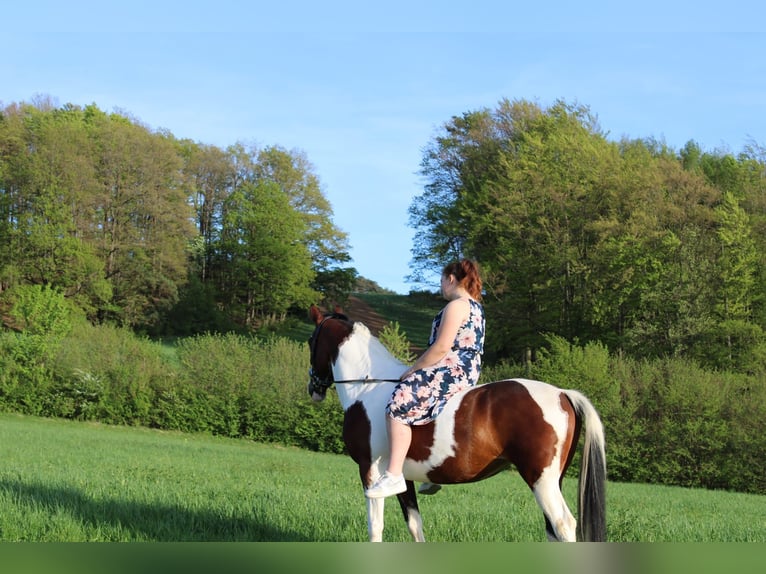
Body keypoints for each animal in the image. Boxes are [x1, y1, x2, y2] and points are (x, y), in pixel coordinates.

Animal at [306, 306, 608, 544]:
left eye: (311, 341)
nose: (313, 389)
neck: (368, 386)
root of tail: (563, 393)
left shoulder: (370, 471)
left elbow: (376, 527)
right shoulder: (403, 479)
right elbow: (414, 524)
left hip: (541, 480)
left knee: (563, 525)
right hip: (550, 480)